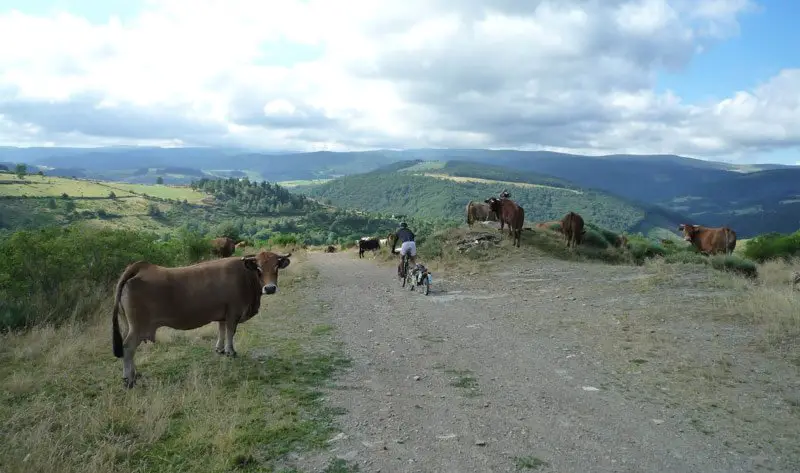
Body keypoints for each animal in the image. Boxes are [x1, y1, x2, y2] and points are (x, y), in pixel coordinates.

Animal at [109, 251, 290, 388]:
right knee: (128, 347)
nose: (270, 288)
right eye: (258, 268)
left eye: (276, 267)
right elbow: (230, 332)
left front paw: (220, 349)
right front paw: (230, 351)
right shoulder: (233, 312)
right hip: (138, 327)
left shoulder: (223, 313)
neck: (245, 276)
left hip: (128, 325)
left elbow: (222, 330)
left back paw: (135, 374)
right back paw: (129, 379)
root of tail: (141, 267)